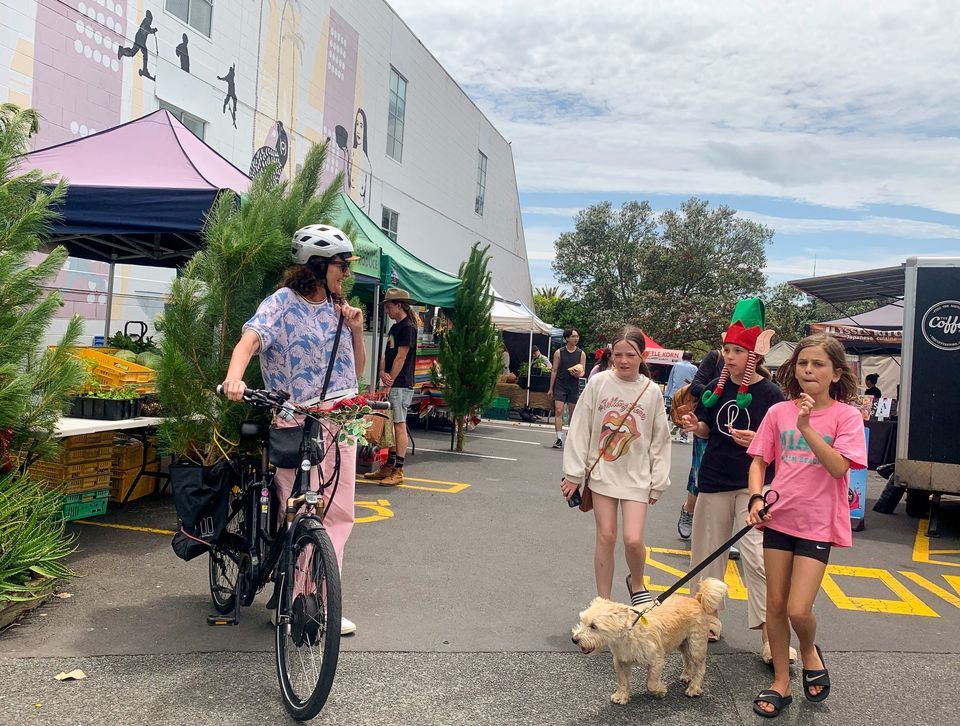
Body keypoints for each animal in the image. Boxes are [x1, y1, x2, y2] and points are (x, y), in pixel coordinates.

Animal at [568, 580, 728, 704]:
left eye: (594, 626)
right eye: (582, 621)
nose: (574, 639)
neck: (628, 635)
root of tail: (697, 600)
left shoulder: (656, 661)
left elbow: (650, 683)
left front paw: (660, 690)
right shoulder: (620, 661)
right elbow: (622, 681)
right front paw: (621, 696)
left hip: (696, 645)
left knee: (700, 667)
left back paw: (694, 688)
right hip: (682, 642)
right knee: (687, 658)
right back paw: (687, 675)